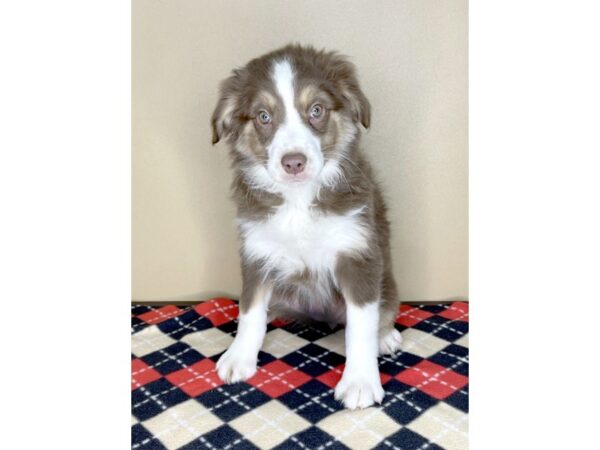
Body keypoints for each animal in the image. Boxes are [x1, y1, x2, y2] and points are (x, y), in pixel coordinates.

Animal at [211, 44, 404, 408]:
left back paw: (385, 337)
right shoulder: (257, 251)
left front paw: (359, 382)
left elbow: (361, 325)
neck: (298, 201)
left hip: (386, 282)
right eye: (263, 116)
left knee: (383, 312)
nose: (294, 163)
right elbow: (250, 311)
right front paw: (239, 357)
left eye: (316, 110)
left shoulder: (359, 256)